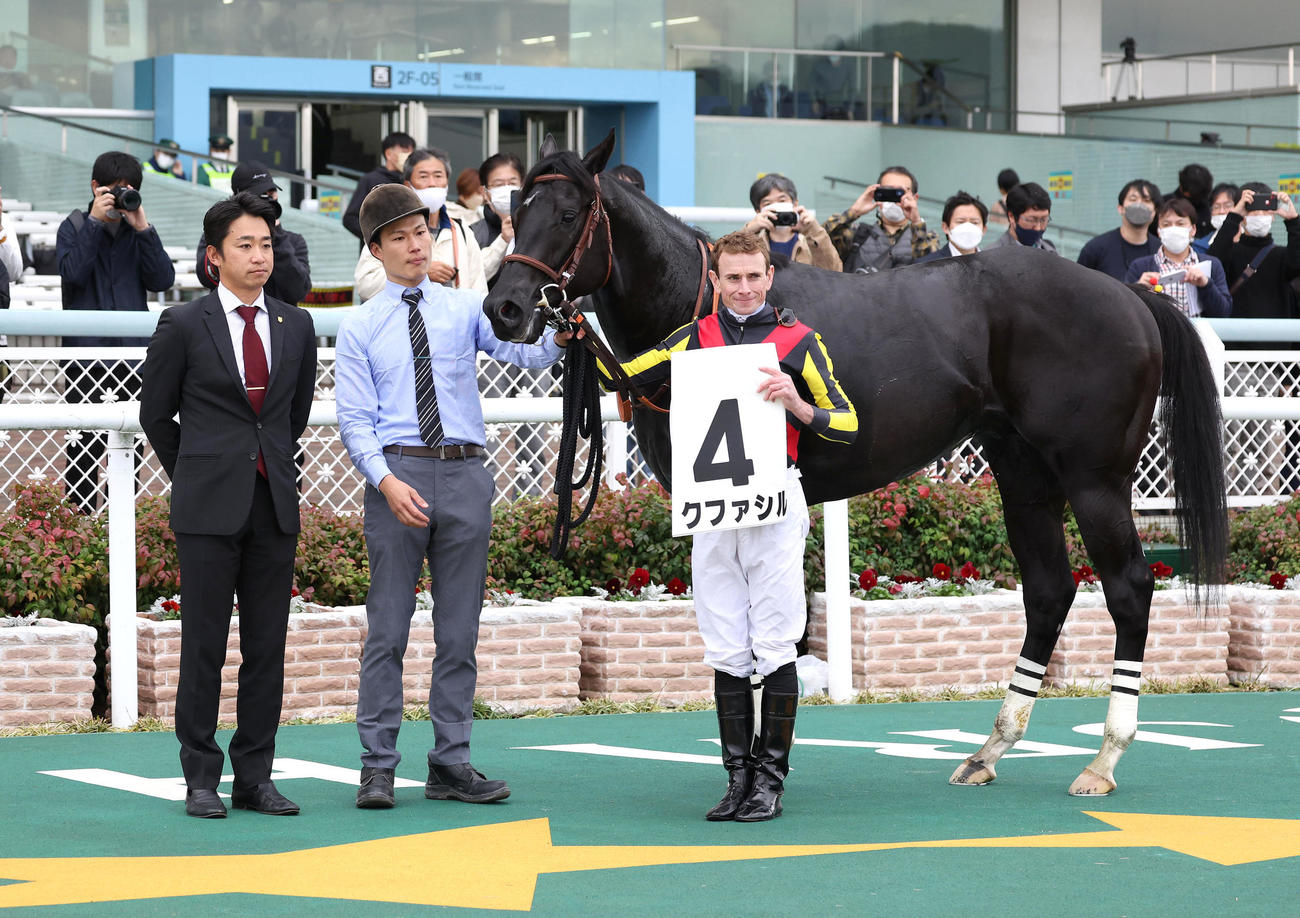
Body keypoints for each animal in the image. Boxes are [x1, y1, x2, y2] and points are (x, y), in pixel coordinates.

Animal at [484, 131, 1228, 796]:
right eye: (514, 212)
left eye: (570, 214)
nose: (505, 307)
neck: (704, 311)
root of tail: (1130, 295)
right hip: (1024, 477)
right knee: (1049, 591)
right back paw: (990, 749)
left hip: (1094, 480)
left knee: (1127, 587)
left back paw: (1103, 759)